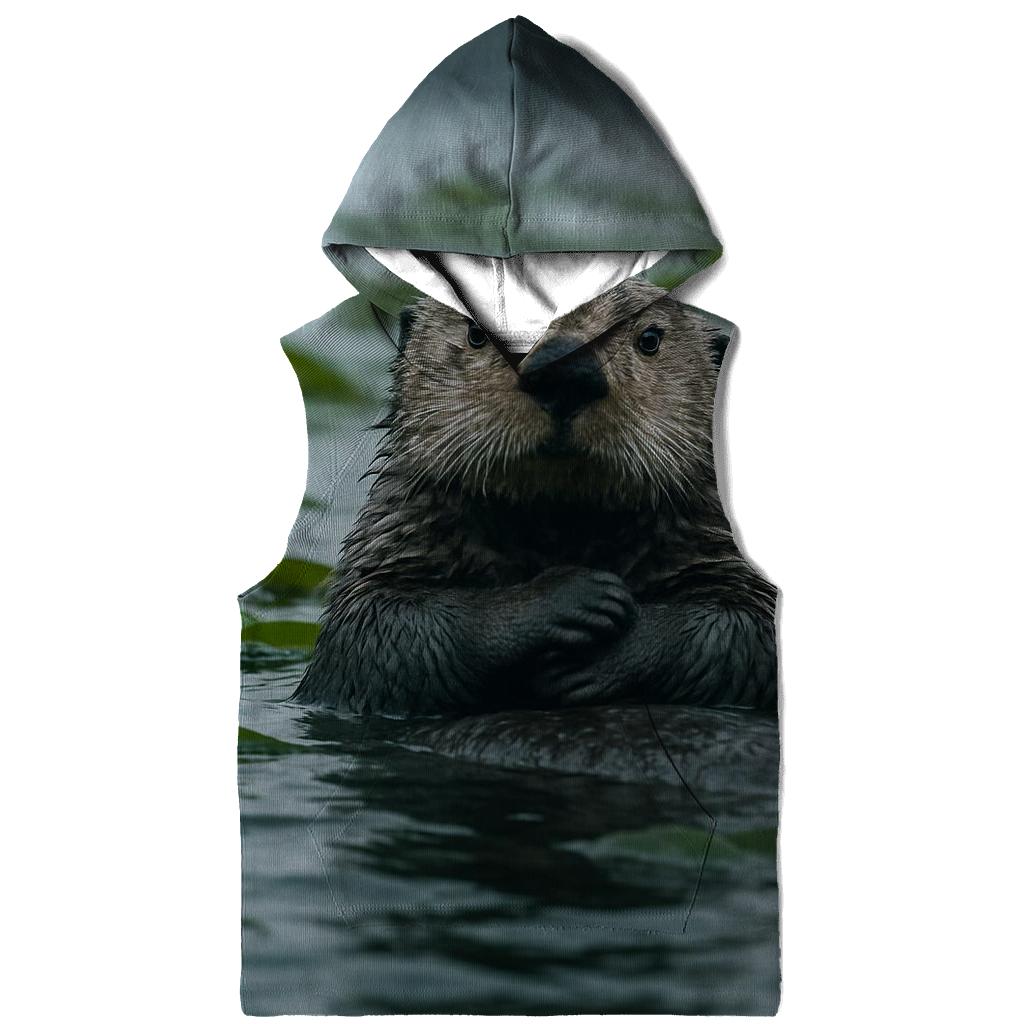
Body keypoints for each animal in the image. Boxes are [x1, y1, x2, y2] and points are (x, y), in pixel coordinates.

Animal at [294, 280, 777, 716]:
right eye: (479, 331)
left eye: (650, 339)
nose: (565, 371)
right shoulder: (401, 539)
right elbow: (378, 636)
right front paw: (570, 595)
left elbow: (739, 632)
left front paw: (608, 652)